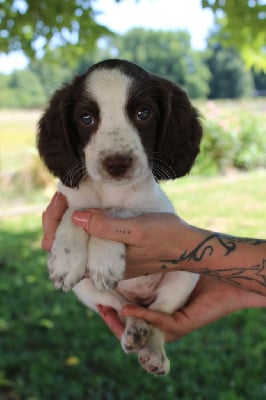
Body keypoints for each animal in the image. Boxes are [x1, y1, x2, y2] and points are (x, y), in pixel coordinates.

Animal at [37, 59, 203, 376]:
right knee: (123, 308)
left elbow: (115, 211)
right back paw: (133, 330)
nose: (116, 165)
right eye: (86, 118)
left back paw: (153, 349)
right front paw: (66, 258)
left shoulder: (156, 212)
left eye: (143, 113)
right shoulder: (65, 199)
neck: (110, 190)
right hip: (88, 290)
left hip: (187, 272)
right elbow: (76, 212)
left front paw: (104, 258)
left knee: (157, 315)